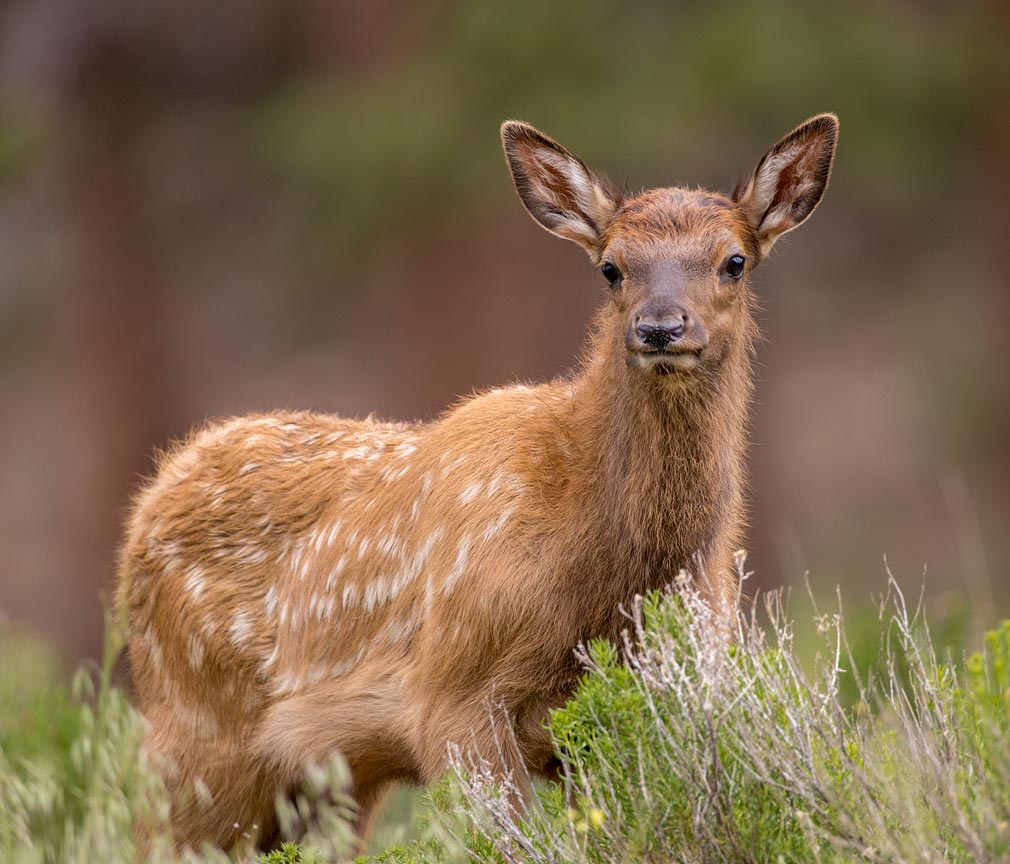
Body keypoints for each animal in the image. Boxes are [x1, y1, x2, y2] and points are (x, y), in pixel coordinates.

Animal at [116, 113, 838, 851]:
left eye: (734, 261)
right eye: (611, 266)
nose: (660, 327)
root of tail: (150, 503)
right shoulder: (454, 690)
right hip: (194, 735)